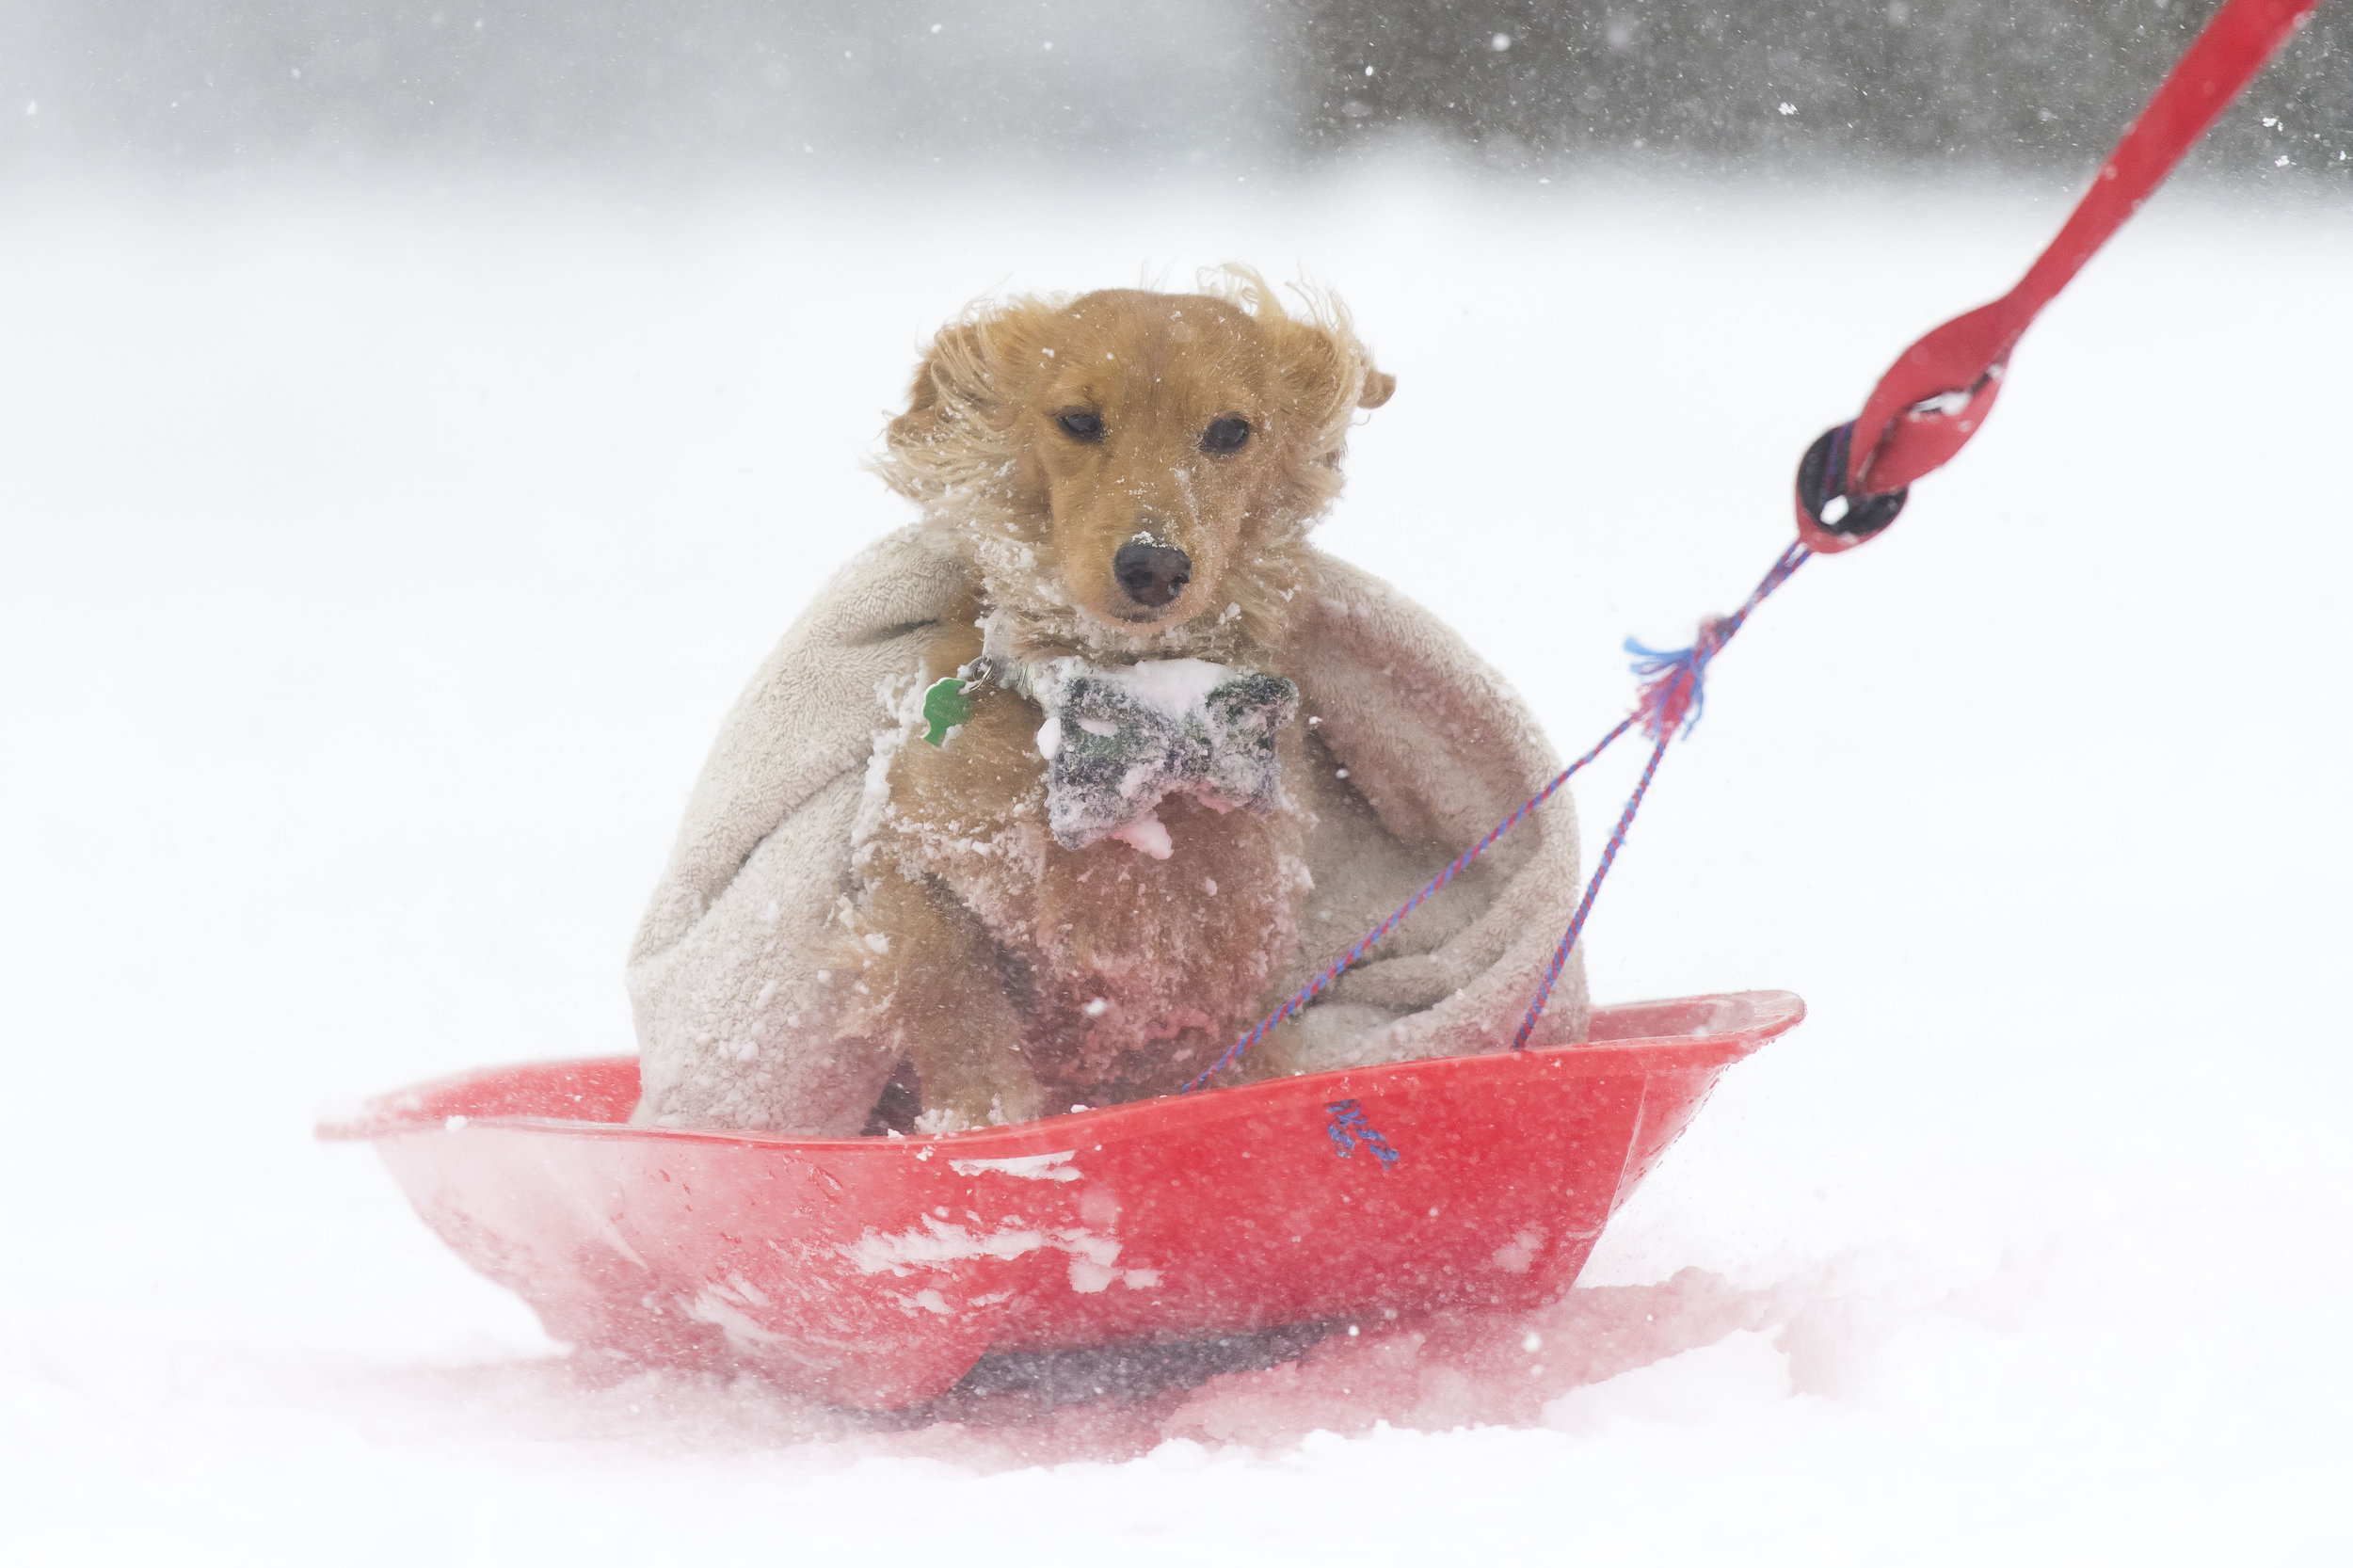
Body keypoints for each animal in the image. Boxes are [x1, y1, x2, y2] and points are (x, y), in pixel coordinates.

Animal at [847, 268, 1393, 1125]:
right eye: (1077, 419)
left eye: (1230, 431)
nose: (1154, 565)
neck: (1145, 710)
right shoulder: (904, 845)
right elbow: (944, 975)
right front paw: (979, 1111)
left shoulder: (1214, 968)